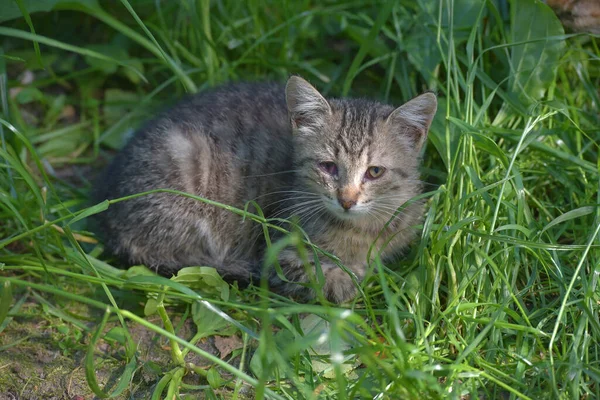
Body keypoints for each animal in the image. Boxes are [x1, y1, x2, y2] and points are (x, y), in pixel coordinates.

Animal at [92, 76, 436, 304]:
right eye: (328, 166)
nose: (347, 199)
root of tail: (108, 213)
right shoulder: (277, 246)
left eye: (374, 171)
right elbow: (329, 279)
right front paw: (350, 277)